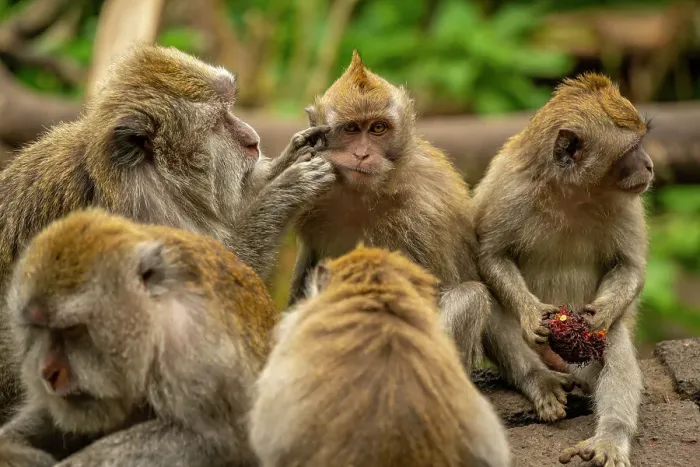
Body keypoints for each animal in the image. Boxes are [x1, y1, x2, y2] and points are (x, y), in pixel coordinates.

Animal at [0, 44, 335, 416]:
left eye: (230, 109)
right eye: (218, 122)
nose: (253, 139)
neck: (142, 185)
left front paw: (291, 156)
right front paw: (285, 190)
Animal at [0, 208, 280, 466]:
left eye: (72, 329)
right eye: (39, 329)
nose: (48, 372)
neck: (155, 325)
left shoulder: (196, 349)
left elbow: (214, 441)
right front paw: (13, 449)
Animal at [288, 50, 490, 371]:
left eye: (378, 128)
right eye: (351, 129)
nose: (362, 154)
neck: (366, 194)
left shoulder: (425, 207)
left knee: (468, 297)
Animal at [473, 72, 653, 467]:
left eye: (642, 142)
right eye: (631, 148)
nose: (649, 165)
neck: (572, 192)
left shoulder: (627, 200)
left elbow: (630, 266)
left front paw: (602, 314)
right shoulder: (509, 189)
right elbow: (491, 256)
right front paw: (530, 314)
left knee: (613, 340)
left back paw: (611, 436)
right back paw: (539, 381)